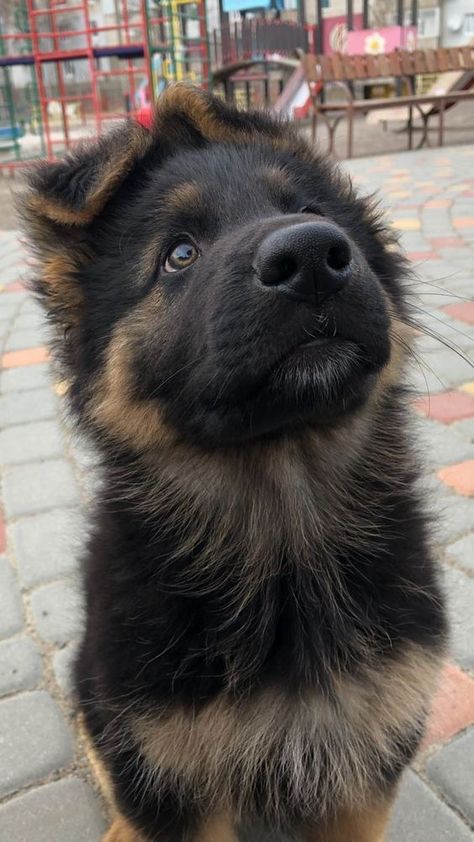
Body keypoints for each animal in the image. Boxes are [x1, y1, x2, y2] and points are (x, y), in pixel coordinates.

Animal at [22, 87, 446, 840]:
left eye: (310, 211)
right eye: (179, 255)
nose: (312, 255)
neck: (284, 540)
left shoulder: (365, 764)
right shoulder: (170, 771)